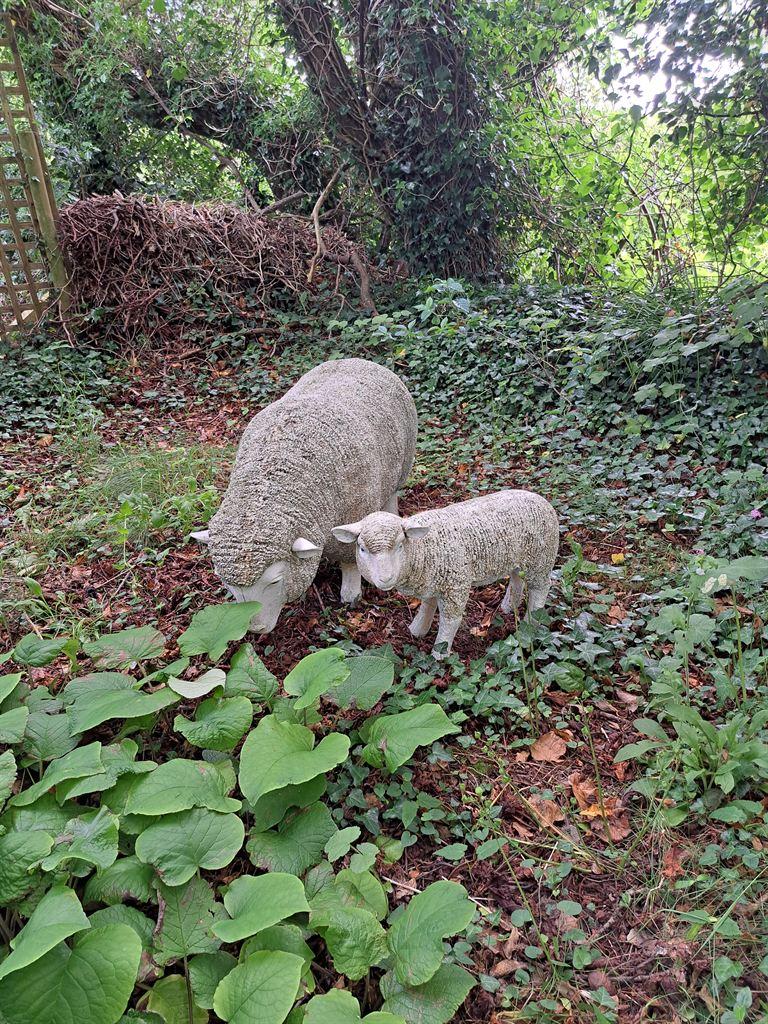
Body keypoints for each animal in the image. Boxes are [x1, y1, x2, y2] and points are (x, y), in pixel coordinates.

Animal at [192, 358, 418, 633]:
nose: (255, 628)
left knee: (392, 495)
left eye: (274, 581)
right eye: (227, 582)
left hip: (402, 466)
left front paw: (350, 595)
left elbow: (350, 563)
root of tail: (359, 360)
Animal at [332, 489, 559, 658]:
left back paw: (531, 623)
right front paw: (416, 630)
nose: (385, 579)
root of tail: (540, 499)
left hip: (542, 558)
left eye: (399, 545)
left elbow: (450, 620)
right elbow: (427, 606)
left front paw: (439, 652)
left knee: (540, 588)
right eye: (362, 549)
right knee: (516, 577)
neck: (423, 548)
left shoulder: (456, 584)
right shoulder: (434, 581)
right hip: (518, 557)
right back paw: (508, 606)